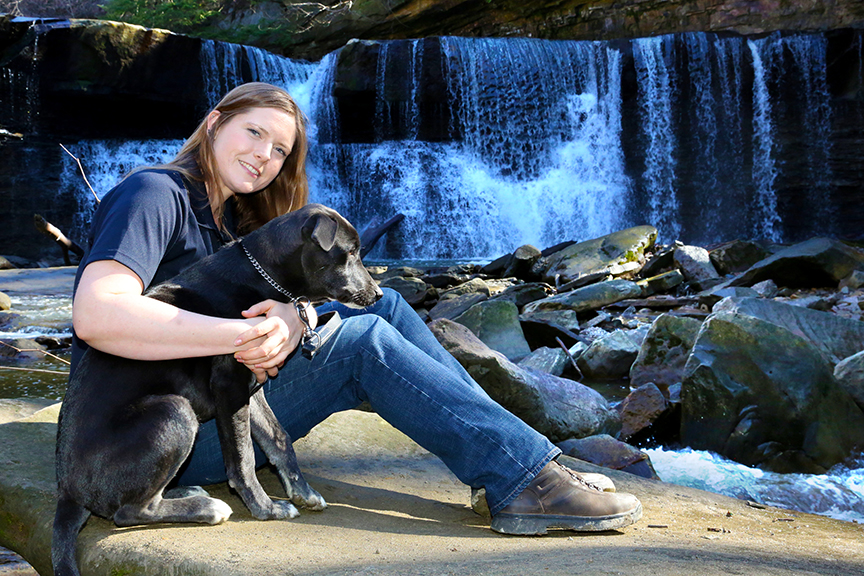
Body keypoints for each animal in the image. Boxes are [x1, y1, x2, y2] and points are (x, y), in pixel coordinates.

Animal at [50, 202, 382, 576]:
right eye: (351, 252)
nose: (378, 294)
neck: (262, 275)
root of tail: (68, 493)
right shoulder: (231, 385)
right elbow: (243, 458)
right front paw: (266, 508)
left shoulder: (253, 385)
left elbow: (278, 438)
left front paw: (302, 492)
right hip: (174, 412)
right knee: (129, 510)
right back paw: (206, 508)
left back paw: (186, 492)